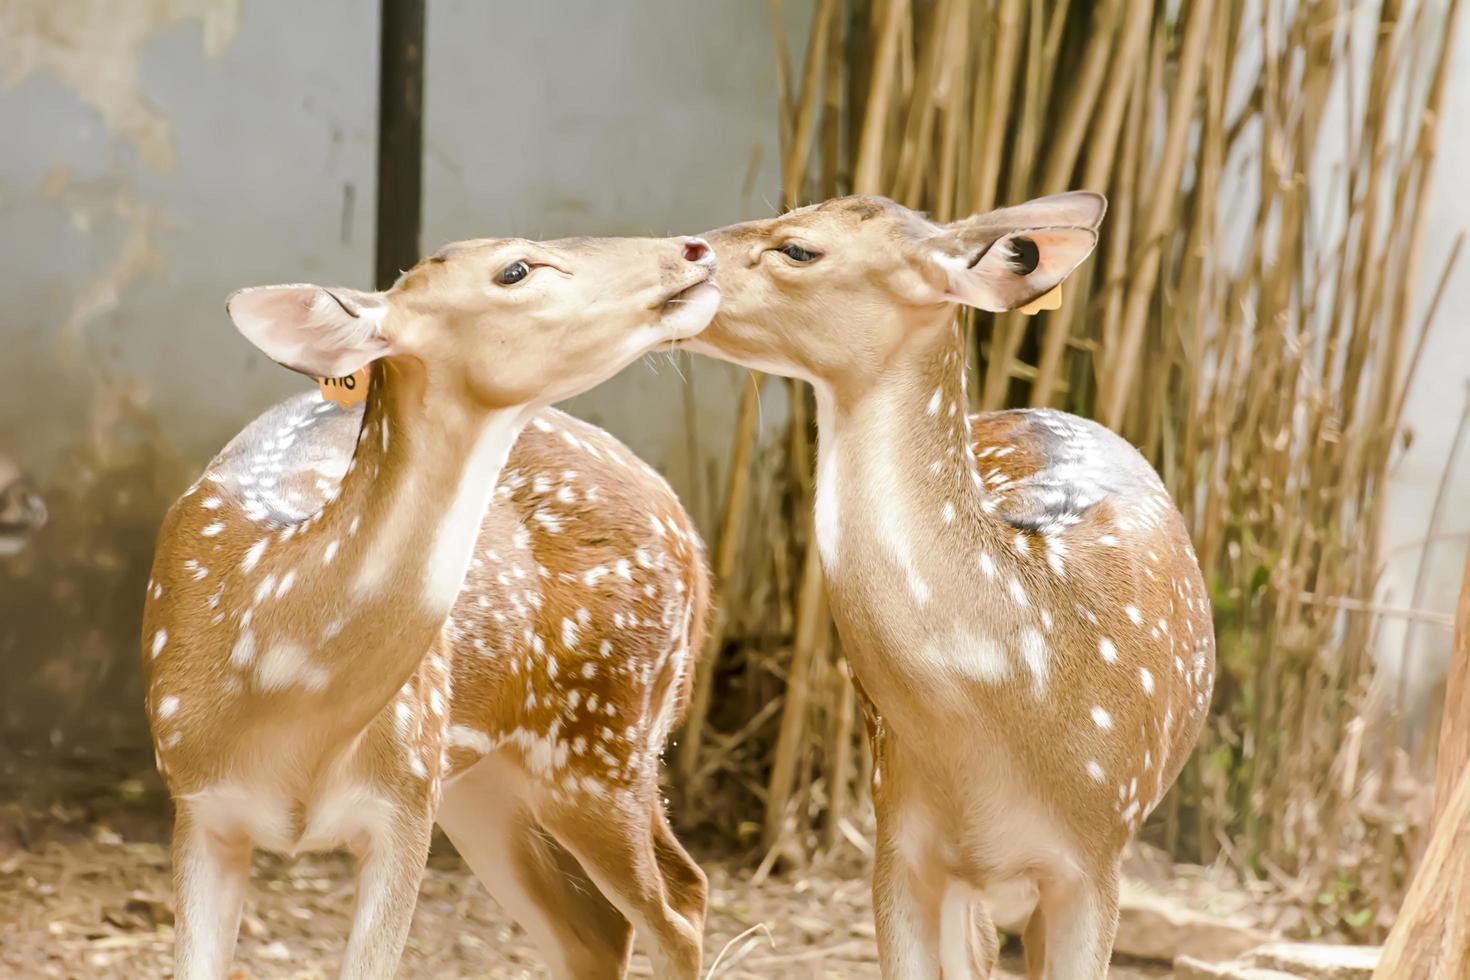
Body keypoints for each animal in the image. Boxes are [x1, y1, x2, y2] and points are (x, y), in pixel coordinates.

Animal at [146, 233, 720, 975]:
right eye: (515, 270)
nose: (697, 247)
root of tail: (692, 539)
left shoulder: (404, 798)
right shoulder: (198, 803)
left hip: (603, 740)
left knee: (679, 903)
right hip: (496, 782)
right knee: (600, 928)